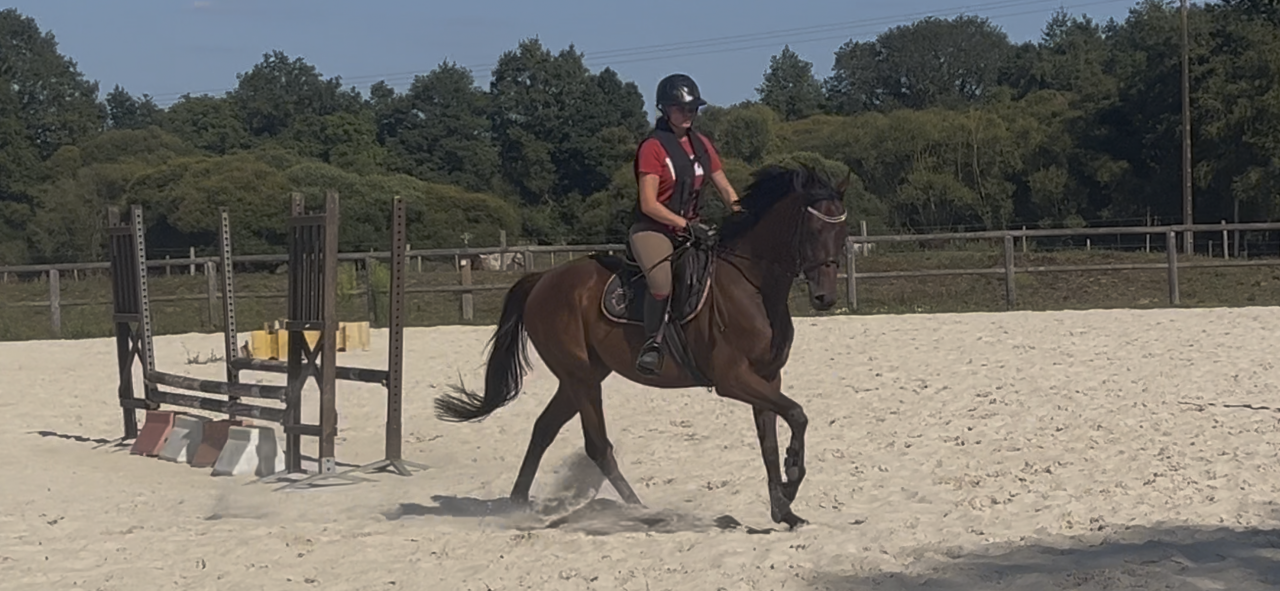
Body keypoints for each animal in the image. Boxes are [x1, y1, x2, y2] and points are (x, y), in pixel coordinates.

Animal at [433, 163, 850, 529]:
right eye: (813, 230)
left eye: (842, 232)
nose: (825, 298)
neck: (754, 287)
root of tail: (542, 279)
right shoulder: (733, 379)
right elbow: (797, 414)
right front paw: (792, 478)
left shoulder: (767, 379)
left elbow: (771, 441)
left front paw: (785, 508)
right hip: (582, 379)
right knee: (598, 446)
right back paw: (641, 512)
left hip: (579, 378)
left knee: (543, 430)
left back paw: (517, 505)